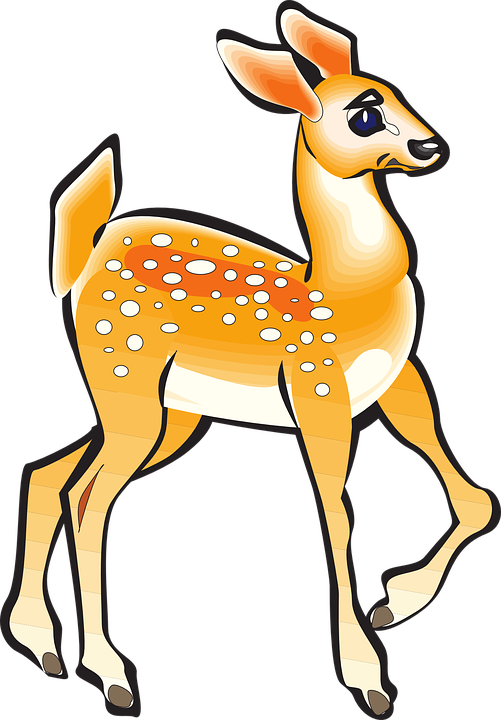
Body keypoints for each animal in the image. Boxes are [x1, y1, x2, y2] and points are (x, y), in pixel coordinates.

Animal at [1, 3, 499, 717]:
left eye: (395, 90)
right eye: (365, 115)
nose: (430, 147)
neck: (344, 294)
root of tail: (85, 256)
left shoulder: (398, 380)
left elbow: (475, 499)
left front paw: (395, 604)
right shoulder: (318, 389)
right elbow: (338, 519)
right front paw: (367, 676)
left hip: (163, 409)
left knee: (55, 479)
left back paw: (41, 644)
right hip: (124, 374)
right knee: (90, 500)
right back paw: (111, 673)